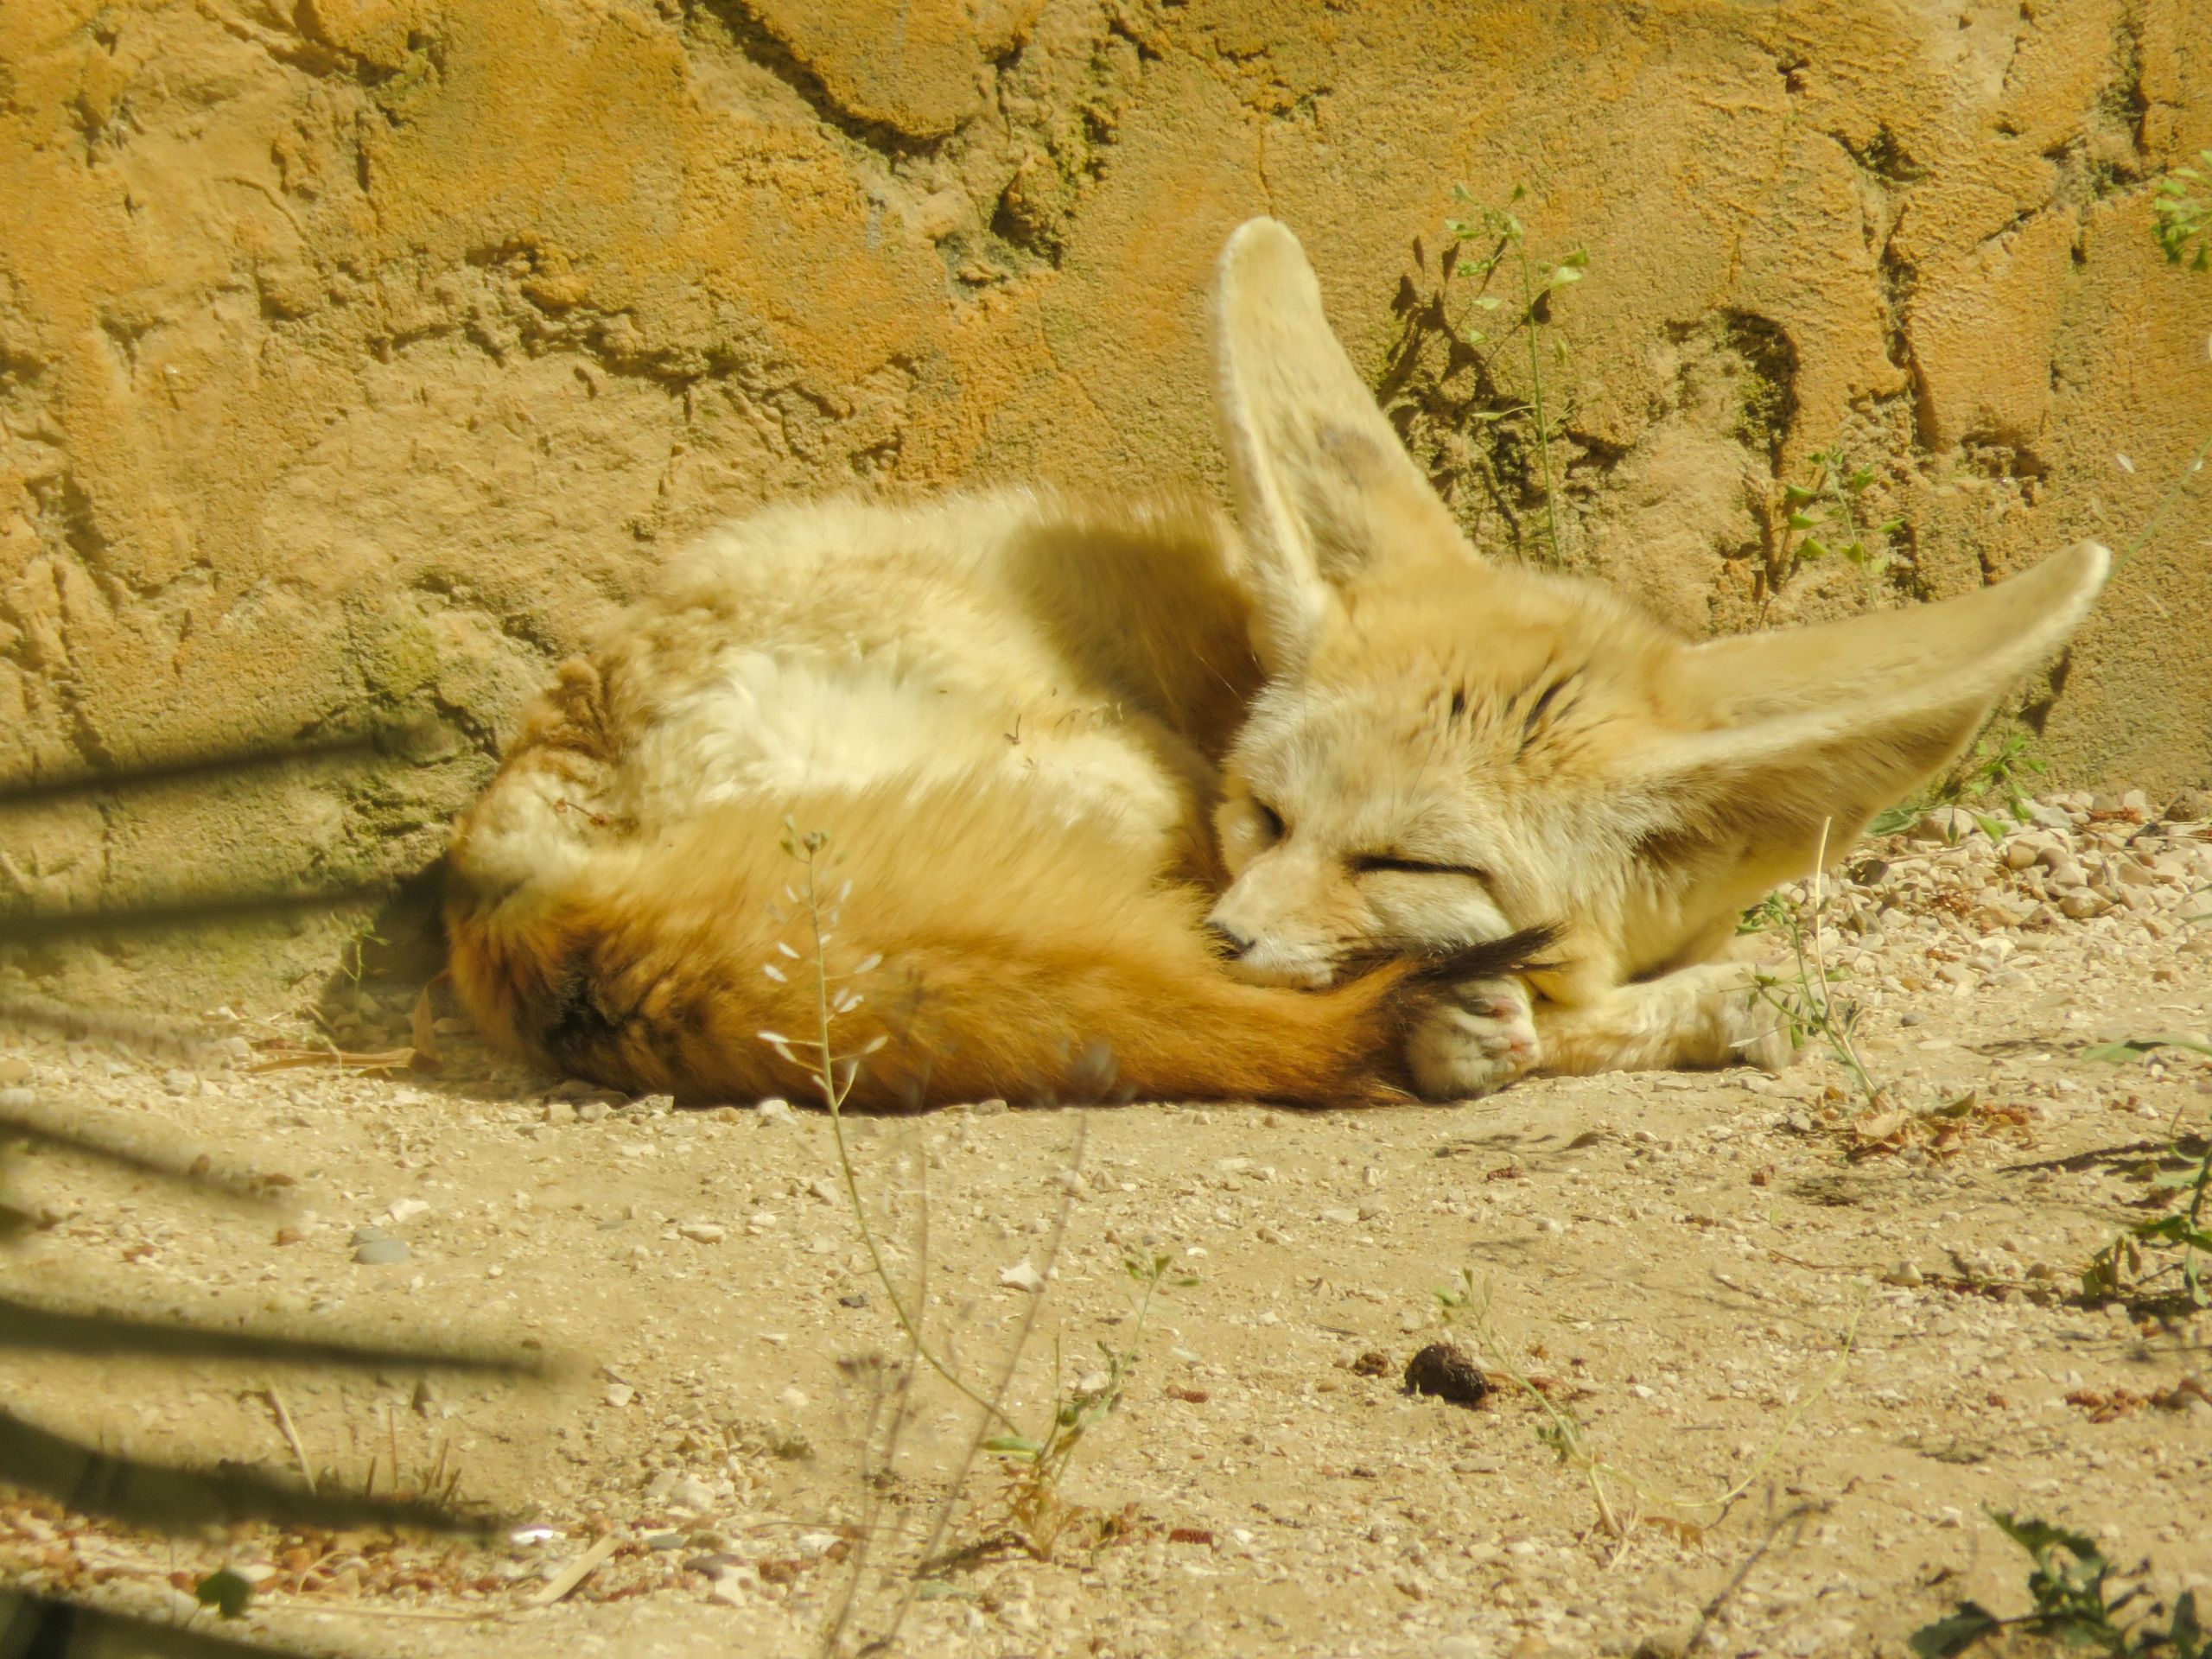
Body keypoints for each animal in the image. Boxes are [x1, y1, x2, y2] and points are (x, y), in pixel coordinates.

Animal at [435, 214, 2106, 1110]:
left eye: (1404, 861)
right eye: (1272, 817)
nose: (1234, 937)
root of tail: (518, 846)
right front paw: (1689, 1004)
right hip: (1109, 779)